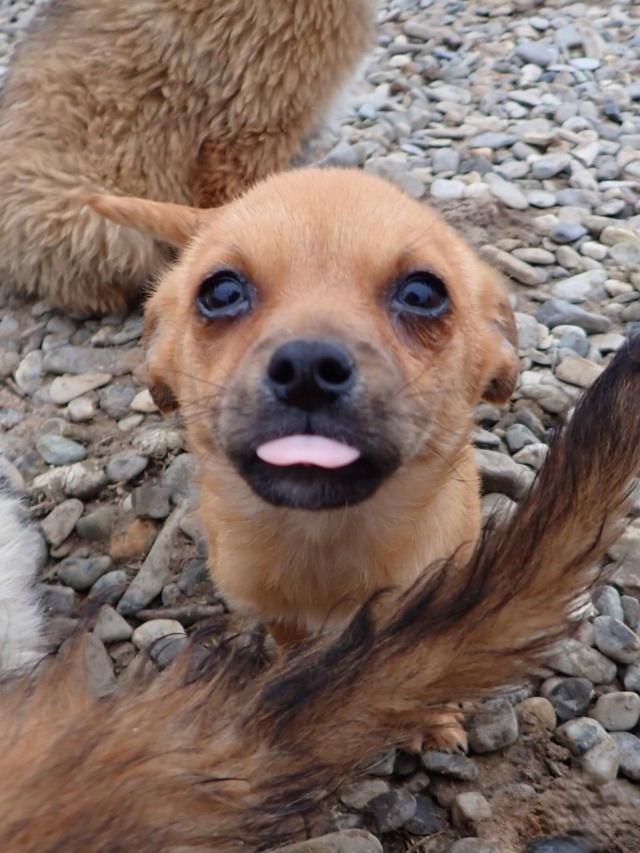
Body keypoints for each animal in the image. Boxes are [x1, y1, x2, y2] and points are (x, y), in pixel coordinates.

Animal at [88, 168, 519, 749]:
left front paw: (430, 715)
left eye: (422, 293)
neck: (325, 541)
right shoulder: (277, 612)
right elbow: (292, 642)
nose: (309, 367)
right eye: (221, 291)